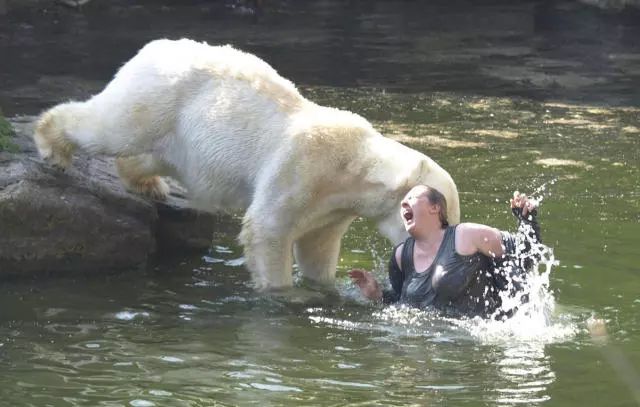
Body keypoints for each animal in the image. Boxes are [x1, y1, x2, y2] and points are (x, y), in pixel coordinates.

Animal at [33, 38, 460, 290]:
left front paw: (324, 288)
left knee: (153, 154)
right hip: (159, 95)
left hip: (180, 134)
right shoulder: (302, 168)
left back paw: (148, 183)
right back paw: (53, 147)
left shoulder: (332, 209)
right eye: (444, 217)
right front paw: (281, 294)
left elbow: (317, 246)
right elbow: (268, 228)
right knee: (112, 126)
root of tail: (152, 47)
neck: (353, 165)